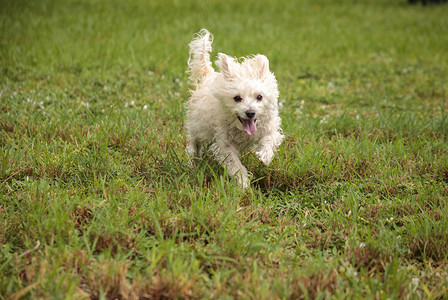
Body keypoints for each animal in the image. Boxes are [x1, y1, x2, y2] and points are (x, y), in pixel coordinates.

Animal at [186, 28, 284, 188]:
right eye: (237, 98)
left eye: (259, 97)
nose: (250, 112)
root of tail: (208, 75)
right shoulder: (225, 145)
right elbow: (235, 164)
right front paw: (244, 184)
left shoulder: (269, 128)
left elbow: (271, 138)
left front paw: (265, 156)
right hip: (197, 127)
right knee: (194, 145)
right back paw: (193, 164)